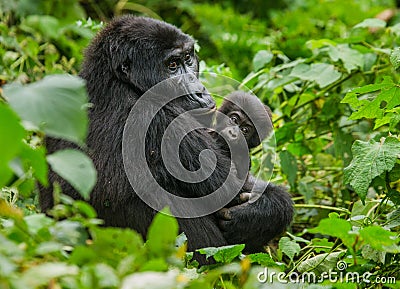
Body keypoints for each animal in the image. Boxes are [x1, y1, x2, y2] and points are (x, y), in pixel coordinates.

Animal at [39, 16, 292, 256]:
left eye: (188, 58)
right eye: (171, 65)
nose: (200, 91)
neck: (115, 82)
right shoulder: (162, 120)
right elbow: (230, 192)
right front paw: (262, 213)